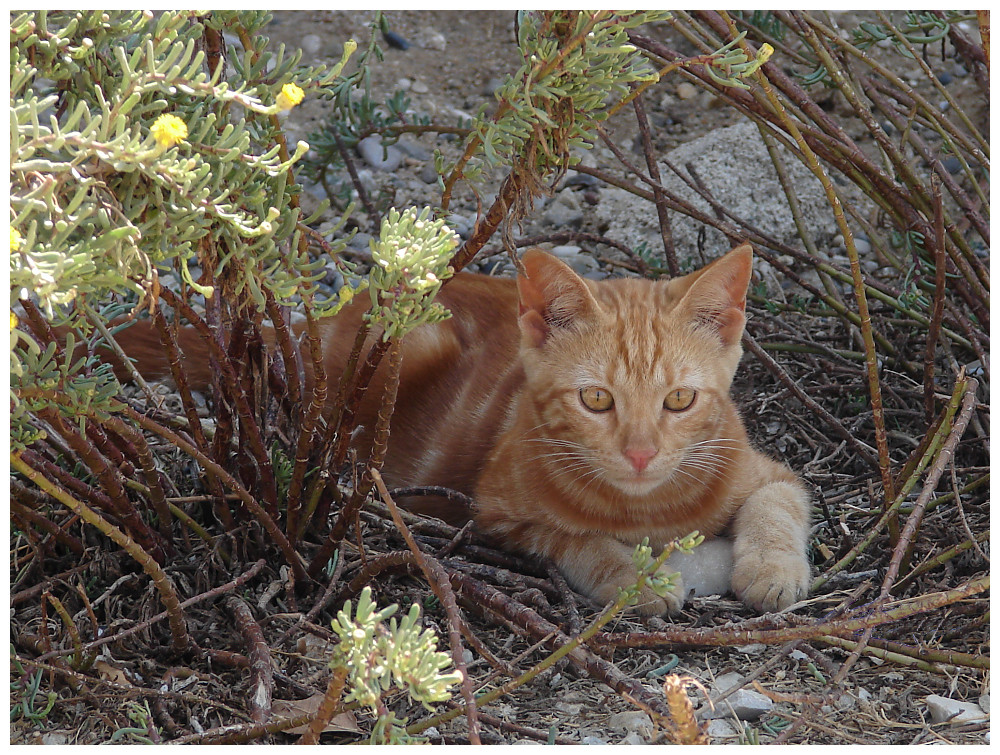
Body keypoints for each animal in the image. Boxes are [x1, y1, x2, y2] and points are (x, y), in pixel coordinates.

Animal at [94, 245, 812, 616]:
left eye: (681, 399)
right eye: (597, 399)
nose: (640, 453)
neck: (647, 506)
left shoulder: (767, 469)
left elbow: (777, 503)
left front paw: (772, 570)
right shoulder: (499, 513)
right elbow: (579, 542)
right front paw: (635, 579)